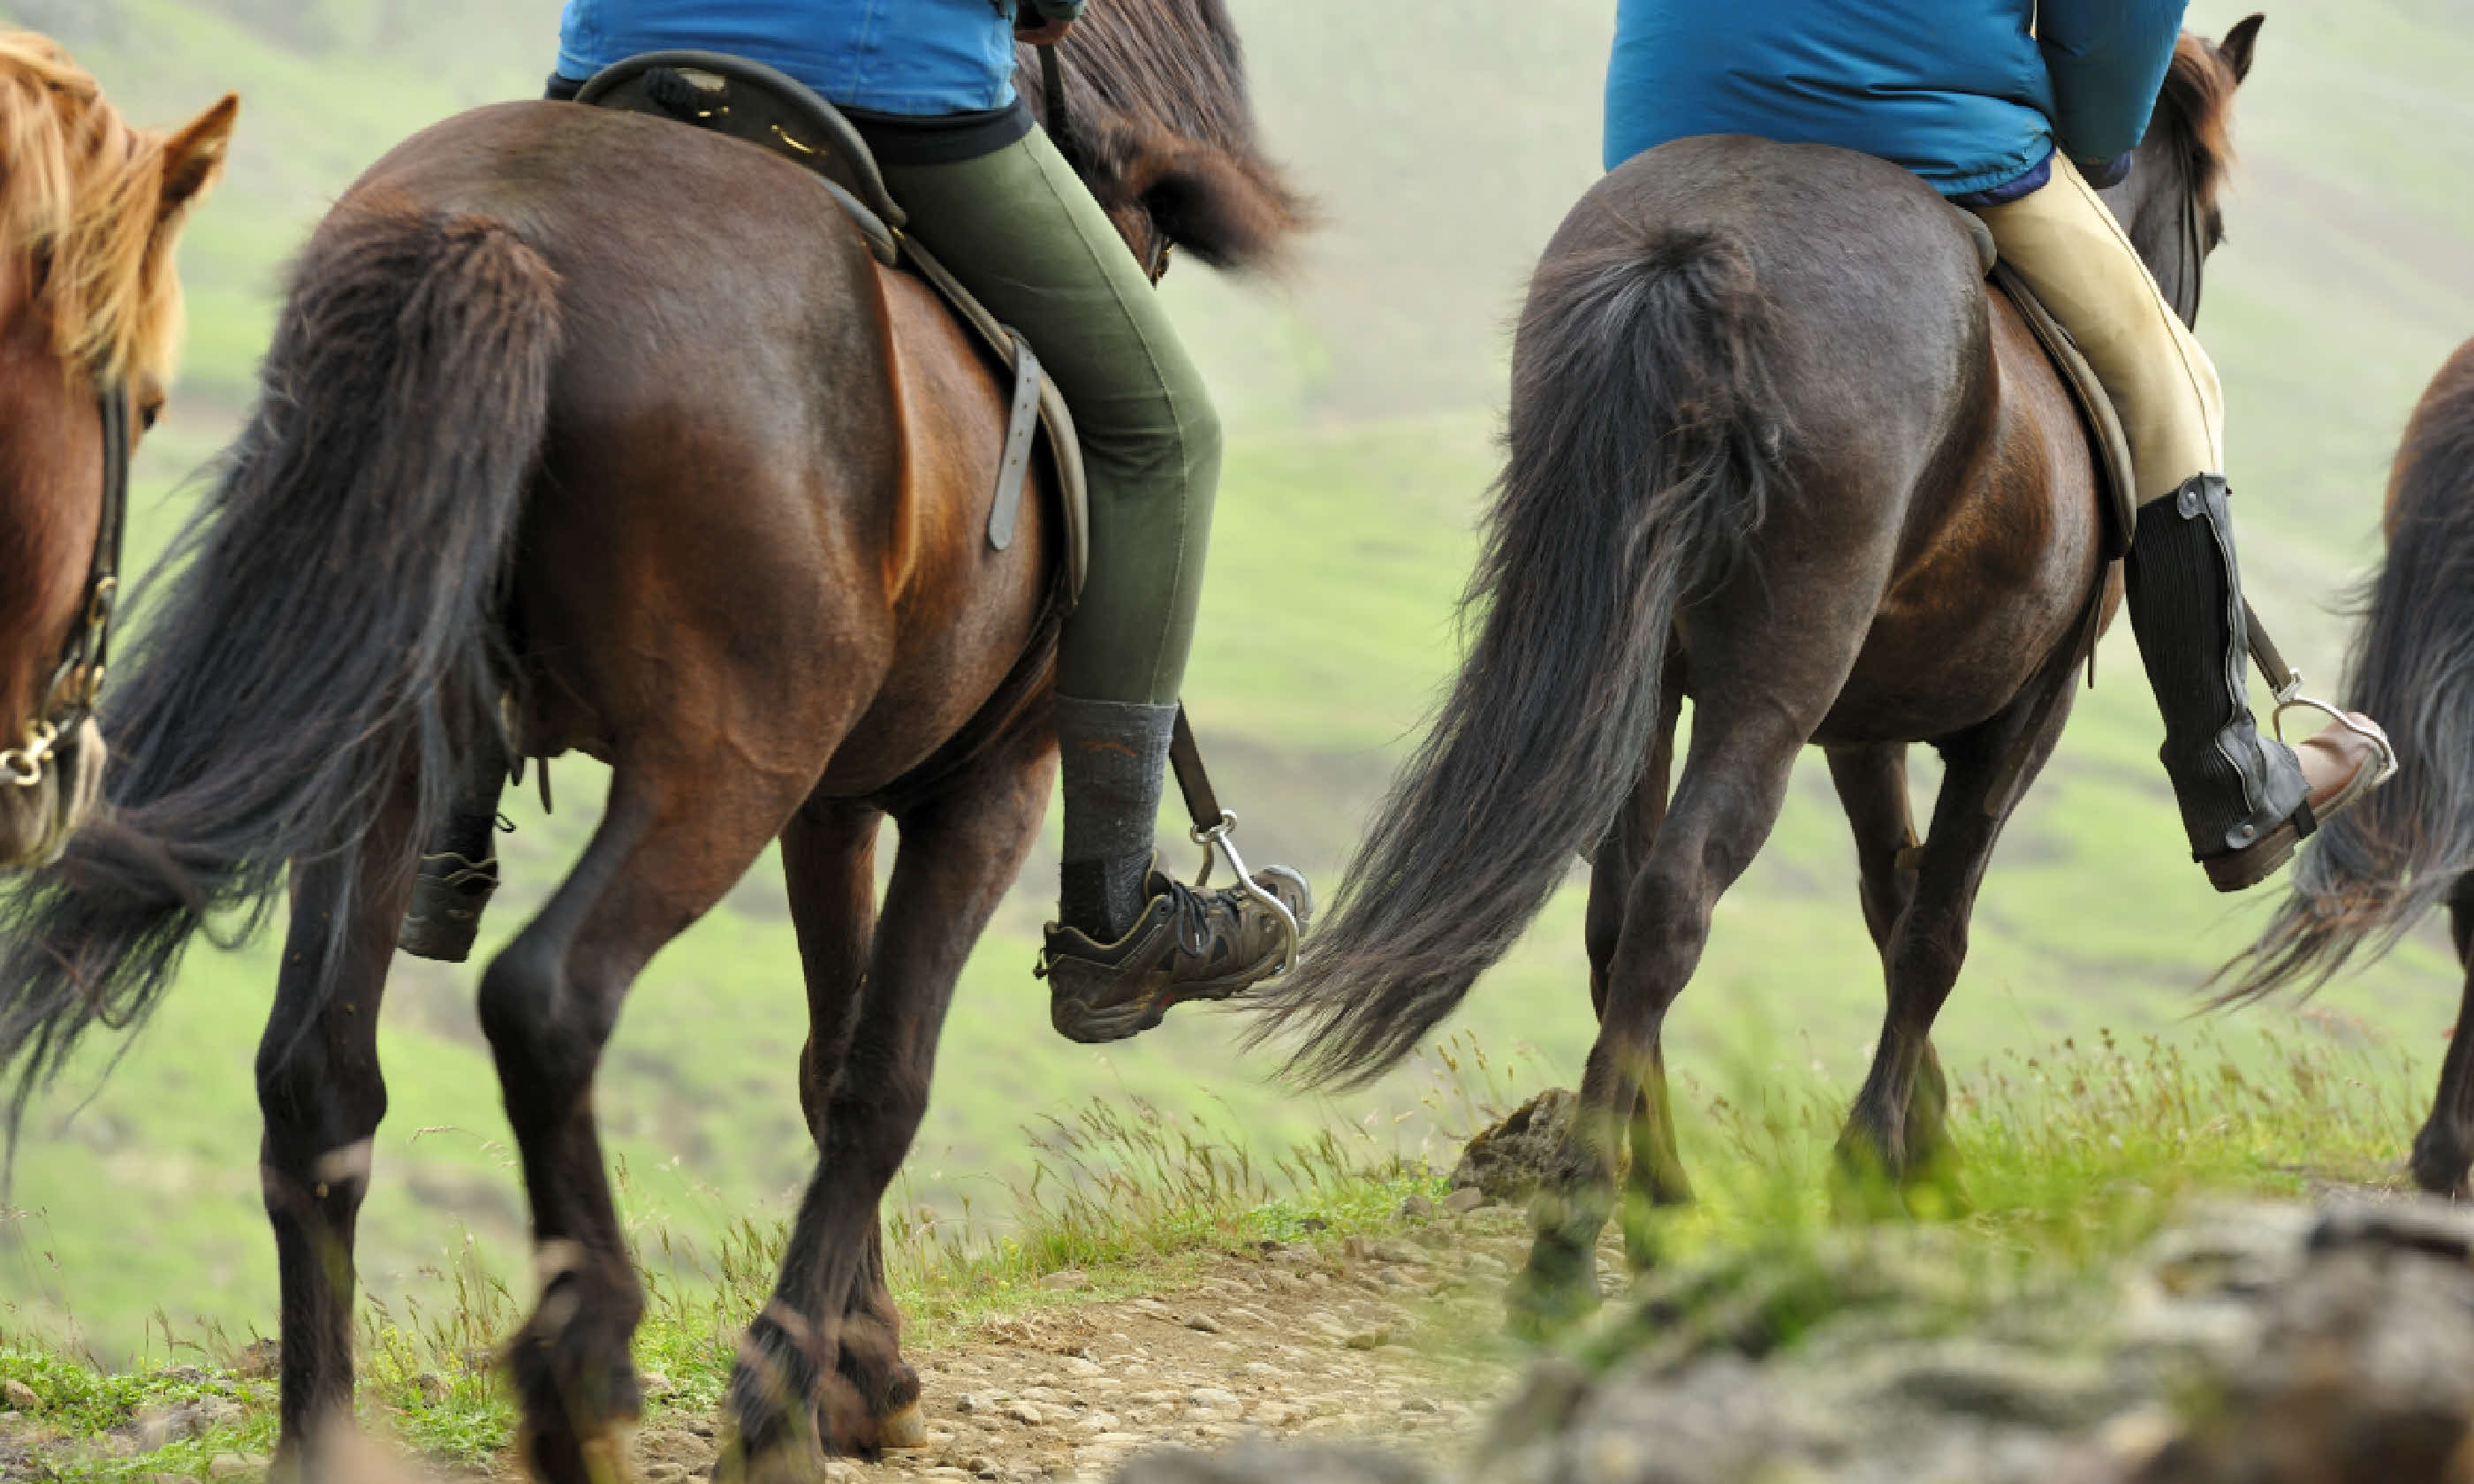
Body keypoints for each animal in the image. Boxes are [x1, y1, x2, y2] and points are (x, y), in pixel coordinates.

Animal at [1266, 19, 2265, 1325]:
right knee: (1673, 904)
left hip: (1640, 689)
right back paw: (1573, 1250)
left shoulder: (1864, 726)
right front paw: (1873, 1173)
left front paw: (1922, 1156)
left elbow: (1891, 902)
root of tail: (1697, 249)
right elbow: (1935, 931)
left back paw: (1663, 1214)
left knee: (1615, 918)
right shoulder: (2020, 719)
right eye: (2216, 222)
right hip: (1775, 683)